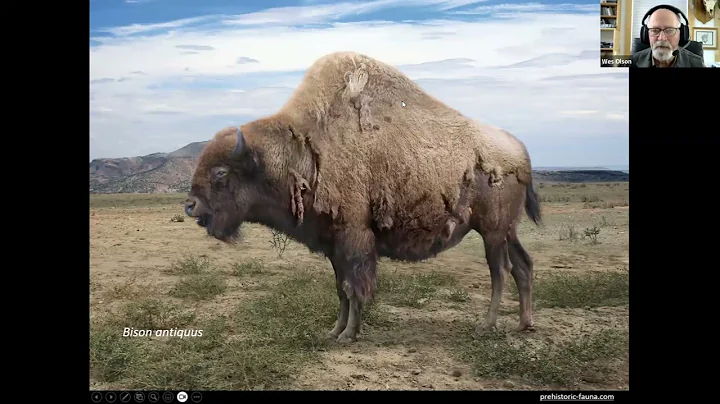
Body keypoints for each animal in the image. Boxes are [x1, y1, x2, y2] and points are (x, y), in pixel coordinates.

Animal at [184, 51, 542, 343]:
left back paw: (487, 325)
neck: (305, 150)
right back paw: (523, 324)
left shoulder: (354, 240)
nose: (190, 205)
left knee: (500, 271)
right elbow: (340, 289)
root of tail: (521, 152)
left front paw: (349, 334)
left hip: (492, 231)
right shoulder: (333, 245)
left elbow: (354, 288)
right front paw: (334, 331)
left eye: (221, 172)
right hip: (507, 230)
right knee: (522, 266)